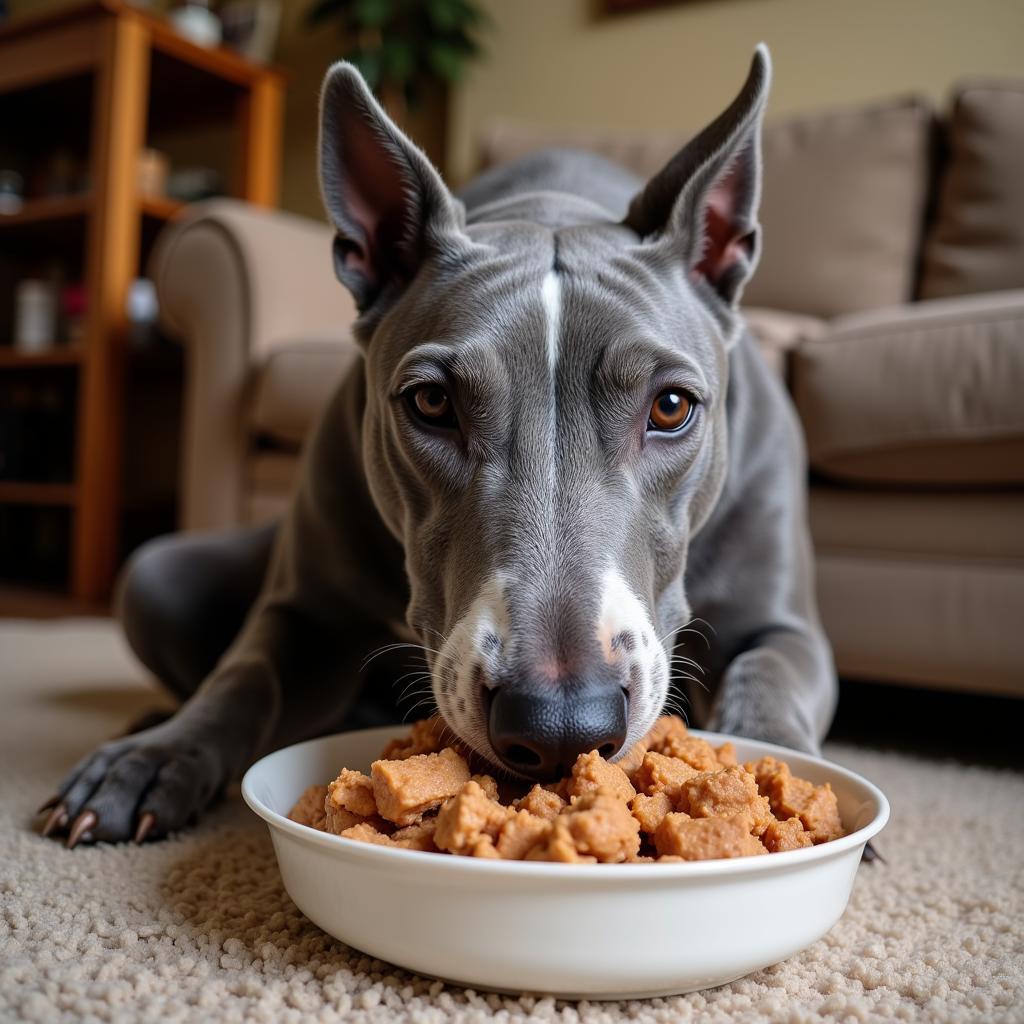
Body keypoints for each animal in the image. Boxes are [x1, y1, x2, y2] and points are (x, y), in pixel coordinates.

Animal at [41, 46, 839, 847]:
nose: (559, 723)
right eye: (431, 404)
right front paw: (152, 759)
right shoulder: (302, 610)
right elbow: (243, 677)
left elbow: (767, 677)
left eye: (670, 407)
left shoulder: (788, 627)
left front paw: (788, 784)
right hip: (154, 577)